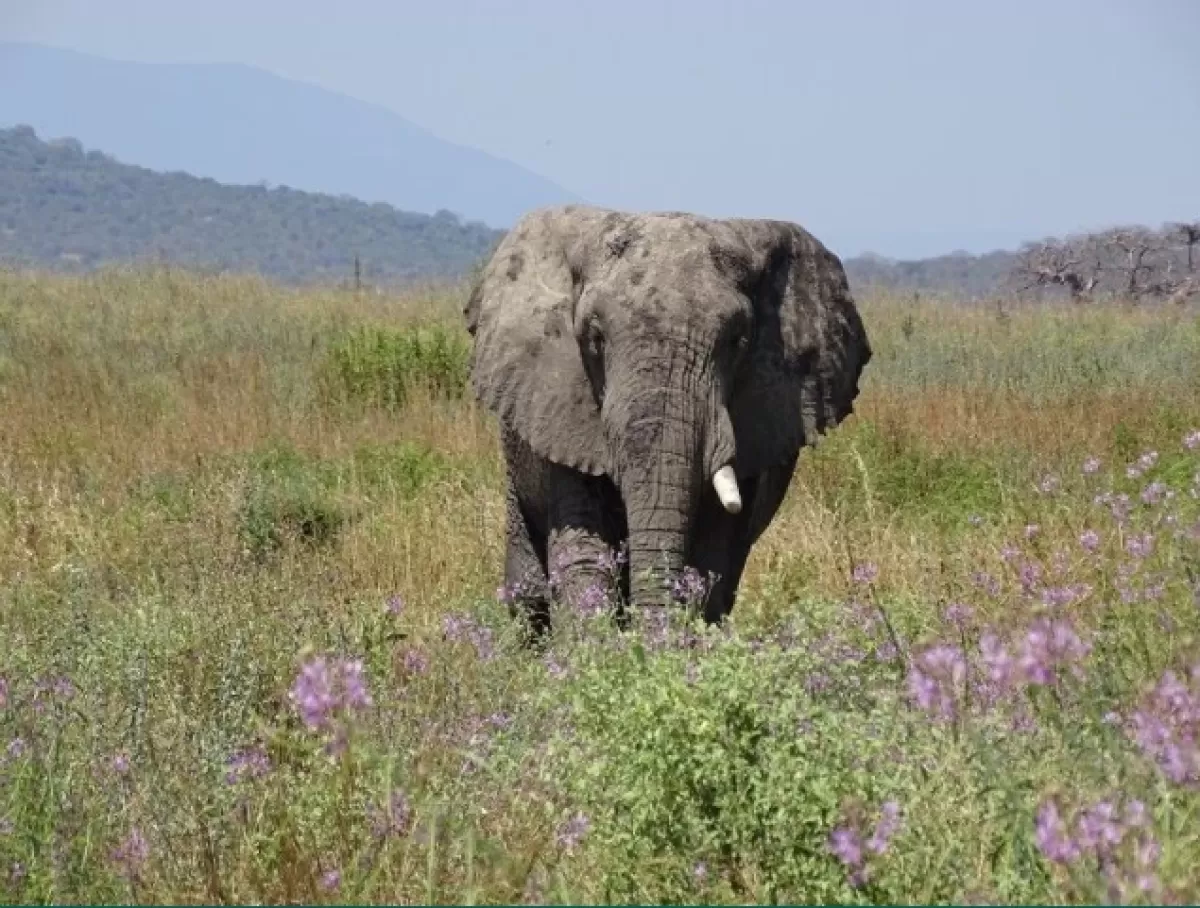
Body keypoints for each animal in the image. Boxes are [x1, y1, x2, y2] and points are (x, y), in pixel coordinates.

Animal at [460, 201, 873, 633]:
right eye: (595, 338)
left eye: (737, 341)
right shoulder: (561, 404)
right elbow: (584, 555)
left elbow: (710, 559)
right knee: (528, 589)